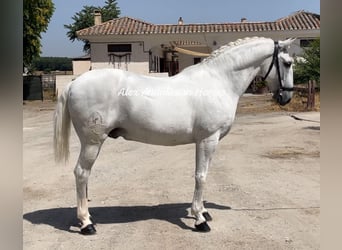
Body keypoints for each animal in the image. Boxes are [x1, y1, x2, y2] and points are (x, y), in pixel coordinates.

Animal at [54, 37, 296, 234]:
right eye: (287, 63)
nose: (286, 98)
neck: (219, 81)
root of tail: (74, 83)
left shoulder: (205, 141)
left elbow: (203, 174)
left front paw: (202, 211)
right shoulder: (208, 139)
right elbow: (201, 176)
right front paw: (199, 219)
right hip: (92, 142)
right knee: (81, 173)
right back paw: (86, 224)